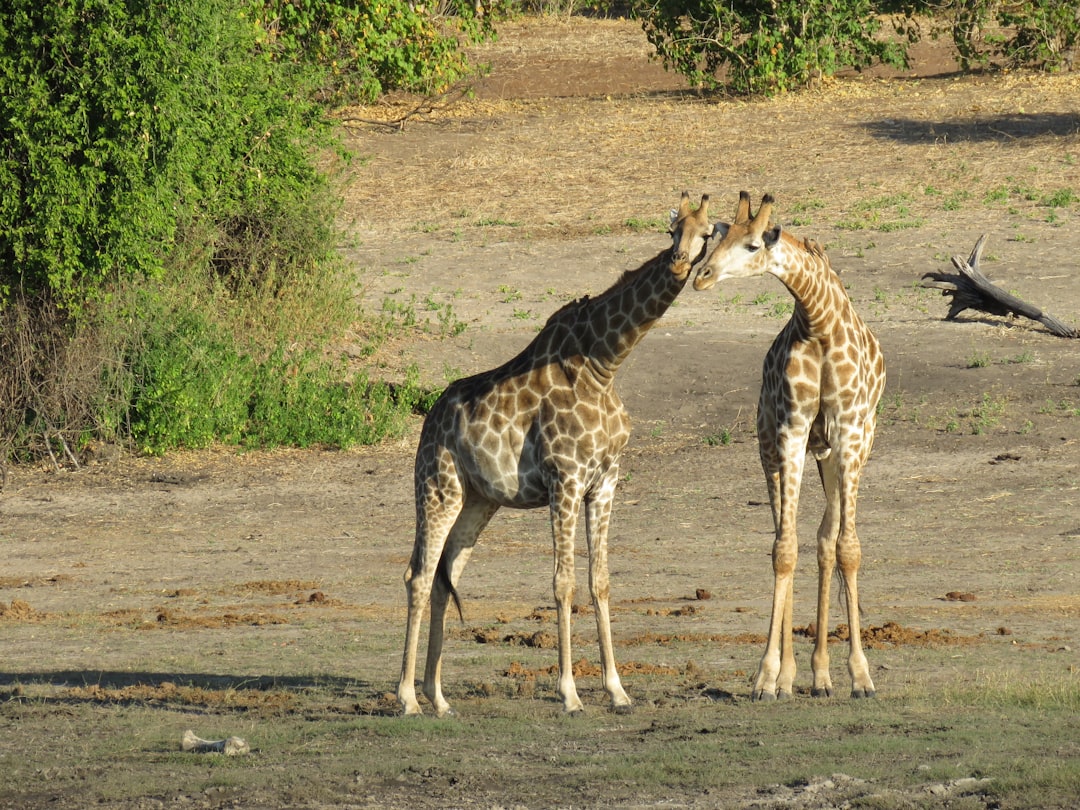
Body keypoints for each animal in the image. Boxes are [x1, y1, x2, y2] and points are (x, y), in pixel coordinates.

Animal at [397, 192, 715, 717]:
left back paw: (439, 698)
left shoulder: (604, 482)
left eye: (707, 233)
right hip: (436, 487)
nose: (678, 262)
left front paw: (617, 690)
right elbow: (562, 581)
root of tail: (430, 418)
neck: (605, 363)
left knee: (446, 576)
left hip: (478, 500)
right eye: (672, 231)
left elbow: (599, 580)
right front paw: (569, 693)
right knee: (418, 576)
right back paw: (407, 698)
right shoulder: (564, 479)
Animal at [693, 192, 885, 701]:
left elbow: (847, 548)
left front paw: (860, 676)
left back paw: (822, 675)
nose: (701, 275)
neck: (819, 322)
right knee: (791, 538)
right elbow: (784, 549)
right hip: (771, 449)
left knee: (824, 542)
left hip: (840, 455)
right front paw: (768, 676)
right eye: (717, 237)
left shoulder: (850, 432)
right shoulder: (793, 431)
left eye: (753, 244)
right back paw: (794, 675)